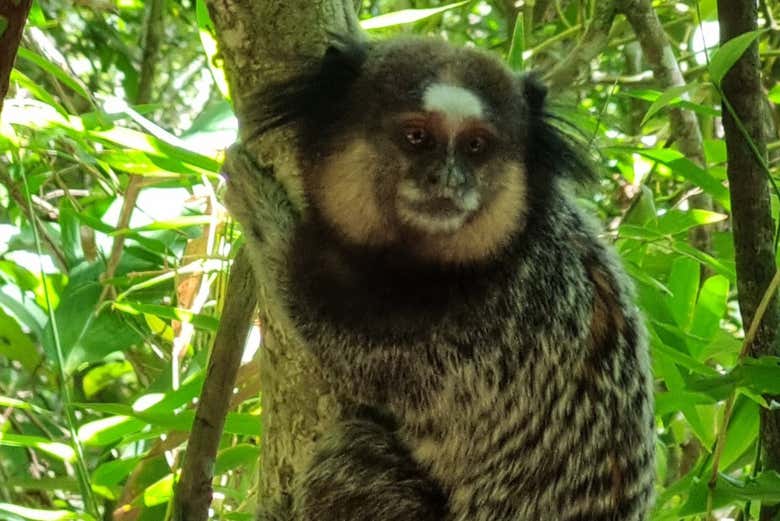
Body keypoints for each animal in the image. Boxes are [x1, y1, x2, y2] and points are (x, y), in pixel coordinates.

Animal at [234, 32, 655, 521]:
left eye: (475, 145)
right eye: (417, 137)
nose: (449, 180)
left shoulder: (492, 326)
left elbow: (342, 345)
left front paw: (265, 223)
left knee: (345, 456)